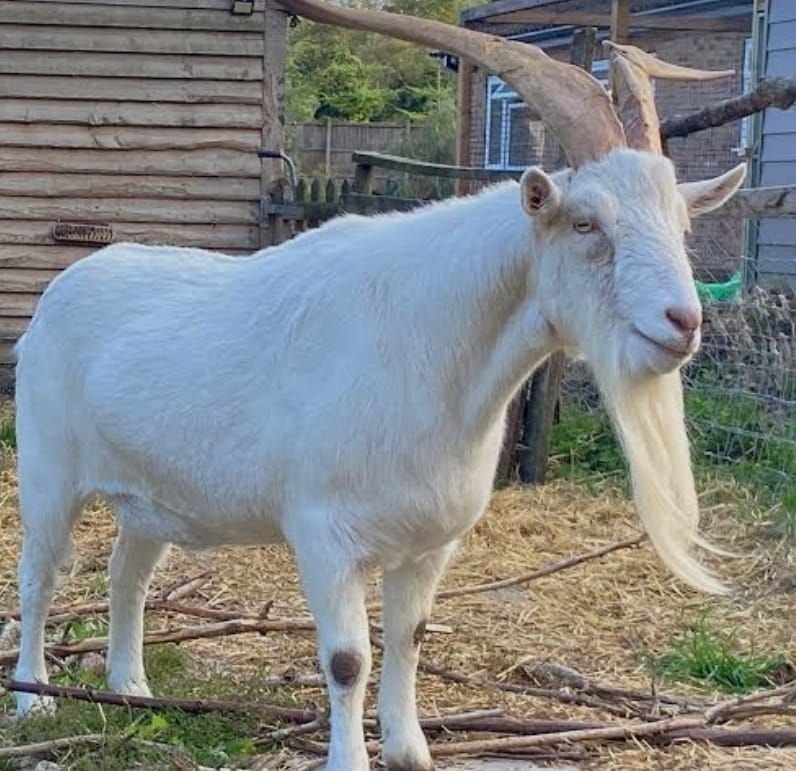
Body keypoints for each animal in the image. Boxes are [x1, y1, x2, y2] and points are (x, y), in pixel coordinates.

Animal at [14, 3, 746, 769]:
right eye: (586, 222)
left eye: (681, 222)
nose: (683, 322)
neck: (429, 347)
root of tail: (61, 290)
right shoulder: (323, 534)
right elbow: (347, 659)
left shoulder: (430, 544)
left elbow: (409, 640)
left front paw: (410, 752)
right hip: (49, 470)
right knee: (41, 575)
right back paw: (34, 698)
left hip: (151, 497)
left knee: (127, 571)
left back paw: (130, 687)